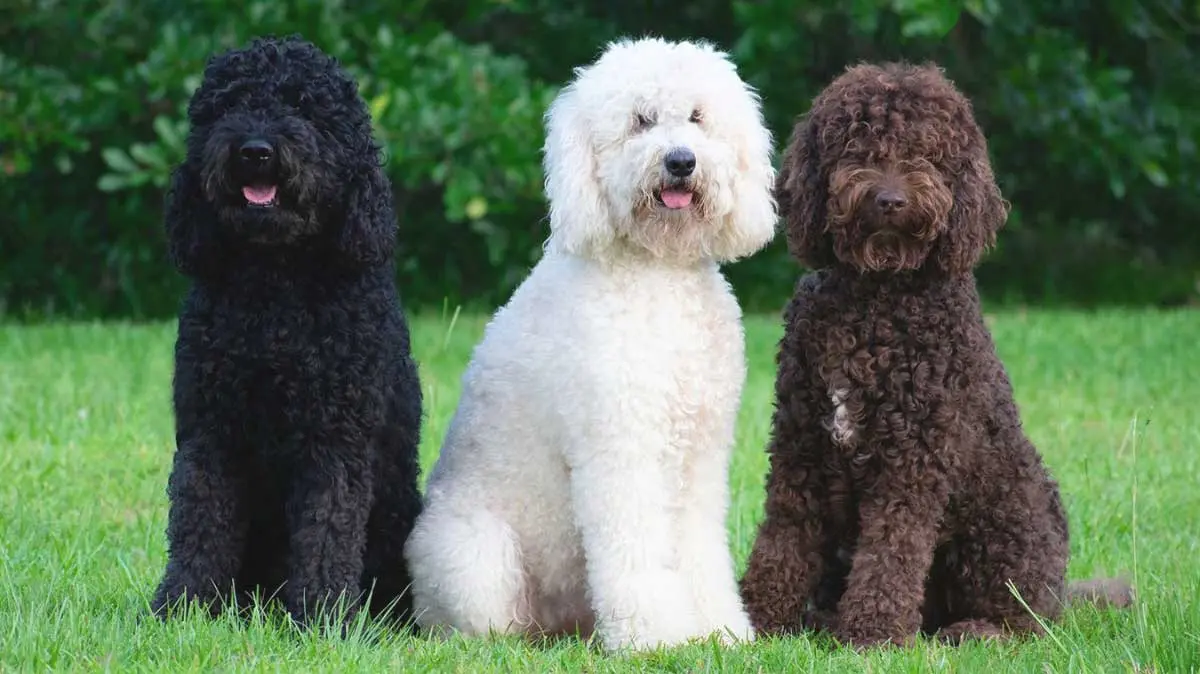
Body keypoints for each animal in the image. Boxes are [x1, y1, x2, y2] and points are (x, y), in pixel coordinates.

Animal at [150, 35, 424, 623]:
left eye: (304, 107)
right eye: (229, 104)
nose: (255, 150)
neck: (273, 295)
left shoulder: (335, 441)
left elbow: (326, 531)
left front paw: (321, 616)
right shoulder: (210, 432)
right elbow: (198, 523)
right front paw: (182, 607)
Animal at [403, 38, 777, 652]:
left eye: (698, 117)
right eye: (640, 120)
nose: (681, 161)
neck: (657, 272)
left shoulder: (699, 455)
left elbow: (699, 551)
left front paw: (720, 631)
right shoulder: (621, 447)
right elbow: (637, 551)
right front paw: (657, 637)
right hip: (475, 557)